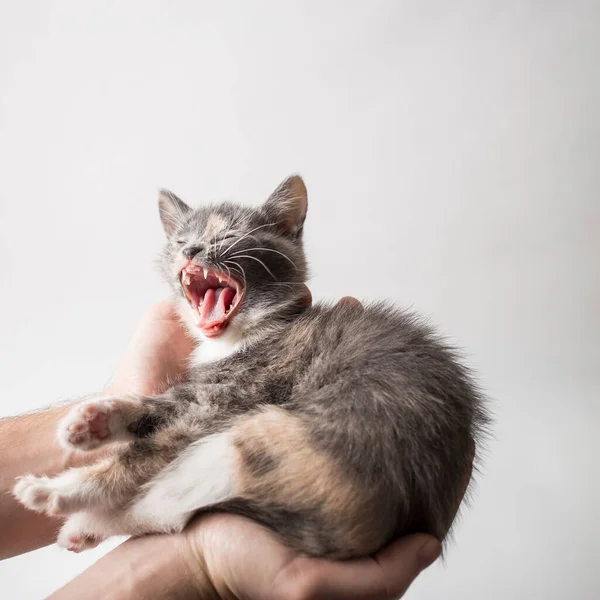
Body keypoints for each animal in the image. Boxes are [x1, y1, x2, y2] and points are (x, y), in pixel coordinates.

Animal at [12, 176, 488, 556]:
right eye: (180, 239)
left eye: (229, 235)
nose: (191, 249)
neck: (241, 337)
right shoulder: (203, 393)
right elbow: (156, 405)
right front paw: (92, 421)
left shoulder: (231, 400)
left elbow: (146, 454)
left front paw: (71, 483)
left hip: (263, 437)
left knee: (165, 503)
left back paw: (68, 506)